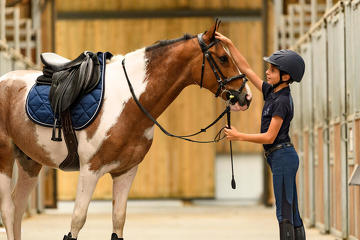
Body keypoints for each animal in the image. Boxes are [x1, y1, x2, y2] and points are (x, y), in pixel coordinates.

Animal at [0, 21, 252, 239]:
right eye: (223, 58)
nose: (246, 97)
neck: (128, 101)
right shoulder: (89, 171)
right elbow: (77, 220)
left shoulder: (126, 171)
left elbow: (118, 221)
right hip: (5, 159)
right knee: (9, 210)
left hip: (30, 162)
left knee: (18, 208)